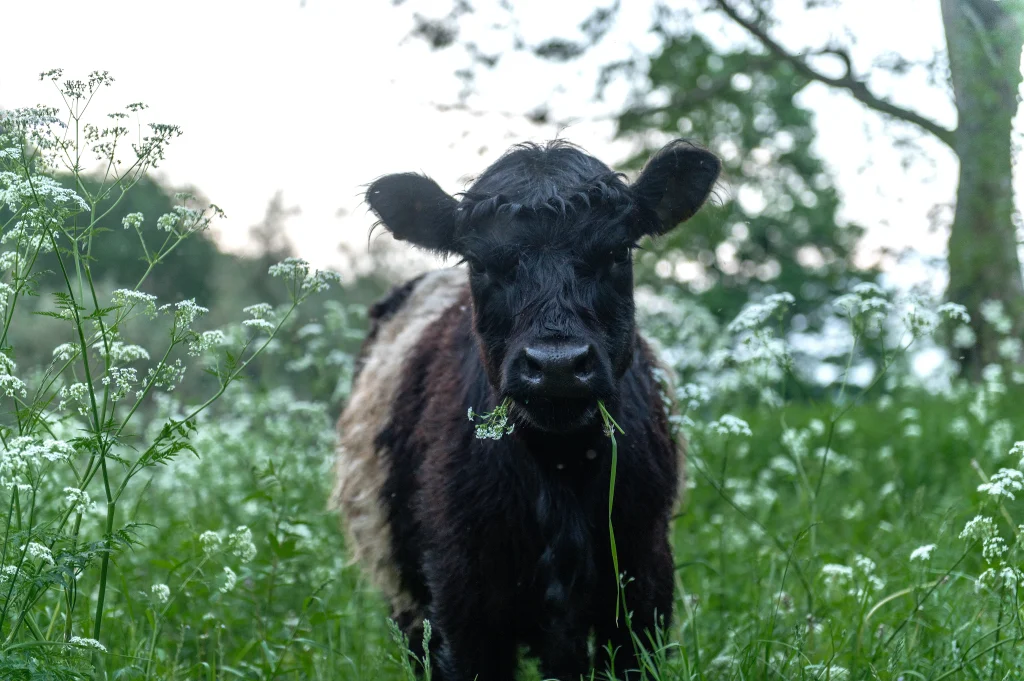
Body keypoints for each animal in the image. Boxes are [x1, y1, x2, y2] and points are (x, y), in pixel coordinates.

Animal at [332, 139, 721, 680]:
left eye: (618, 251)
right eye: (478, 263)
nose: (557, 365)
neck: (559, 467)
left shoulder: (644, 584)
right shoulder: (459, 604)